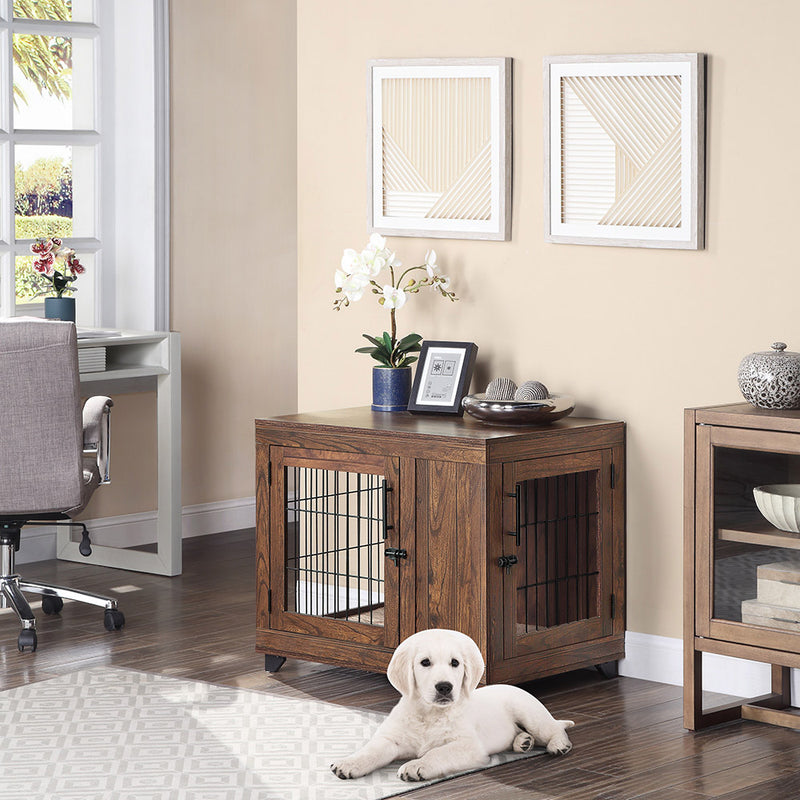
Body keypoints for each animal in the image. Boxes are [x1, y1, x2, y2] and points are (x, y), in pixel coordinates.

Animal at [328, 624, 572, 780]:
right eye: (425, 662)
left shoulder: (469, 746)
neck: (429, 713)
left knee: (553, 729)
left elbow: (437, 752)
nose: (444, 687)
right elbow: (370, 751)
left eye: (455, 663)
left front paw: (416, 765)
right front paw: (348, 763)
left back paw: (558, 744)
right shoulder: (391, 740)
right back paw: (523, 742)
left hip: (529, 712)